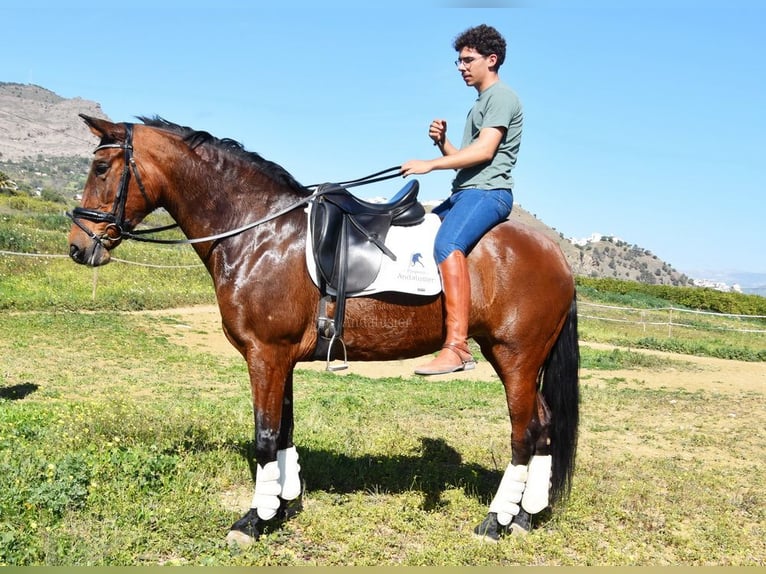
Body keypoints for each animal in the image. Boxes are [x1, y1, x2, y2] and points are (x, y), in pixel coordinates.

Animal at [69, 115, 580, 548]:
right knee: (545, 428)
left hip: (514, 356)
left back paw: (495, 521)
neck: (260, 233)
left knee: (524, 433)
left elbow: (264, 435)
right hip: (516, 358)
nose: (77, 247)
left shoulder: (265, 353)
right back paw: (525, 516)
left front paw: (252, 521)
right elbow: (284, 430)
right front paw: (280, 506)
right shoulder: (280, 357)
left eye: (100, 167)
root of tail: (555, 254)